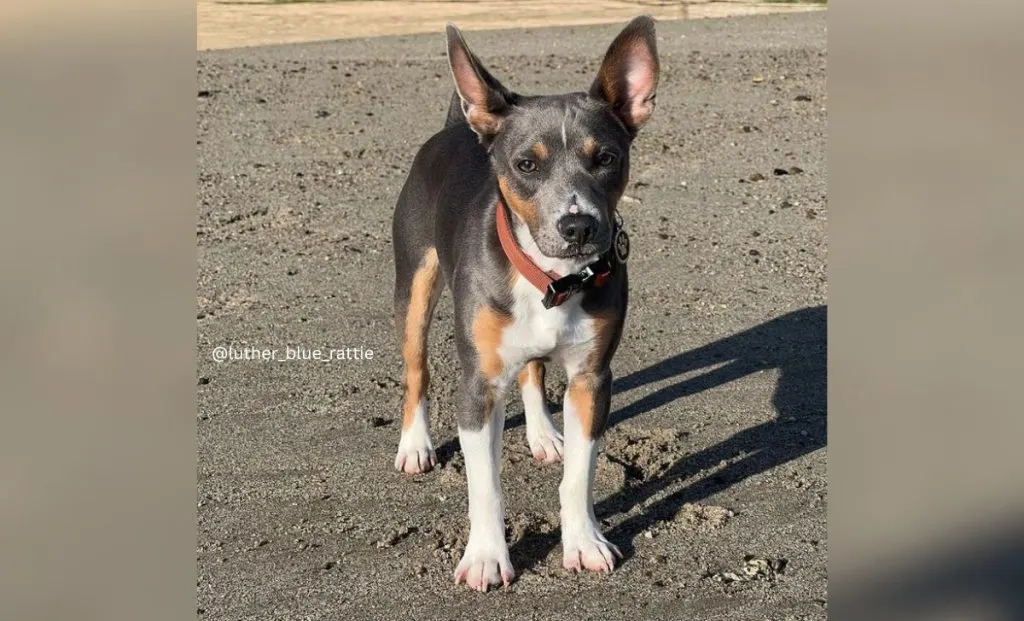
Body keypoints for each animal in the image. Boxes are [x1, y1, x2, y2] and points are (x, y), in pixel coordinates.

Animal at [387, 17, 659, 594]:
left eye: (606, 158)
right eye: (526, 164)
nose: (577, 226)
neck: (552, 280)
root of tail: (458, 127)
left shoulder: (592, 379)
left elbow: (578, 476)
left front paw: (583, 542)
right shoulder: (477, 384)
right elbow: (485, 487)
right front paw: (487, 557)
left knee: (533, 372)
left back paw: (541, 434)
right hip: (414, 286)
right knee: (417, 369)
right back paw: (415, 445)